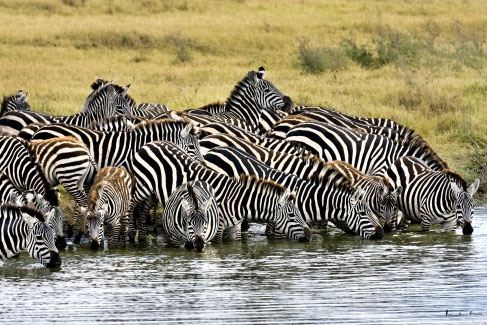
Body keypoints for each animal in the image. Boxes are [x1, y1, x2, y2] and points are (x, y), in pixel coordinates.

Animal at [132, 140, 310, 243]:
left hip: (152, 192)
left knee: (142, 211)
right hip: (142, 186)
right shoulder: (216, 227)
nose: (309, 236)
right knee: (131, 205)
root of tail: (149, 143)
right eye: (292, 215)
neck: (237, 201)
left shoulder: (235, 227)